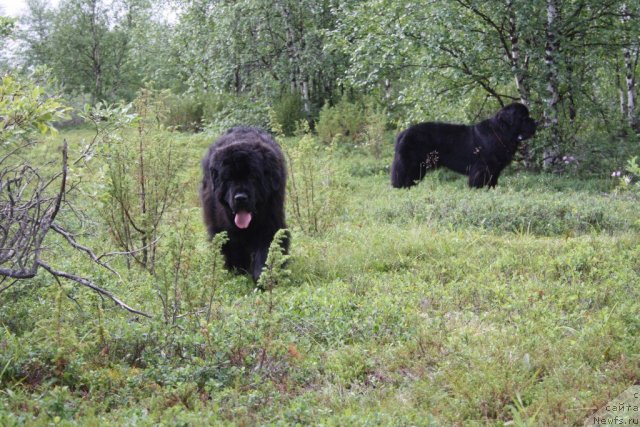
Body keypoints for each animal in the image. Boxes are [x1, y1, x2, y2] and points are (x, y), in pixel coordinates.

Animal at [201, 125, 288, 282]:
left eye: (253, 177)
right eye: (228, 179)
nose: (240, 197)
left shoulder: (270, 221)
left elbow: (266, 248)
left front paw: (263, 276)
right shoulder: (224, 227)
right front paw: (238, 271)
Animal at [390, 103, 536, 188]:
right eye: (523, 118)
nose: (536, 122)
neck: (500, 132)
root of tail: (403, 133)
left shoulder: (494, 170)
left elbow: (492, 182)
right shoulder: (482, 167)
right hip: (411, 164)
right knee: (402, 177)